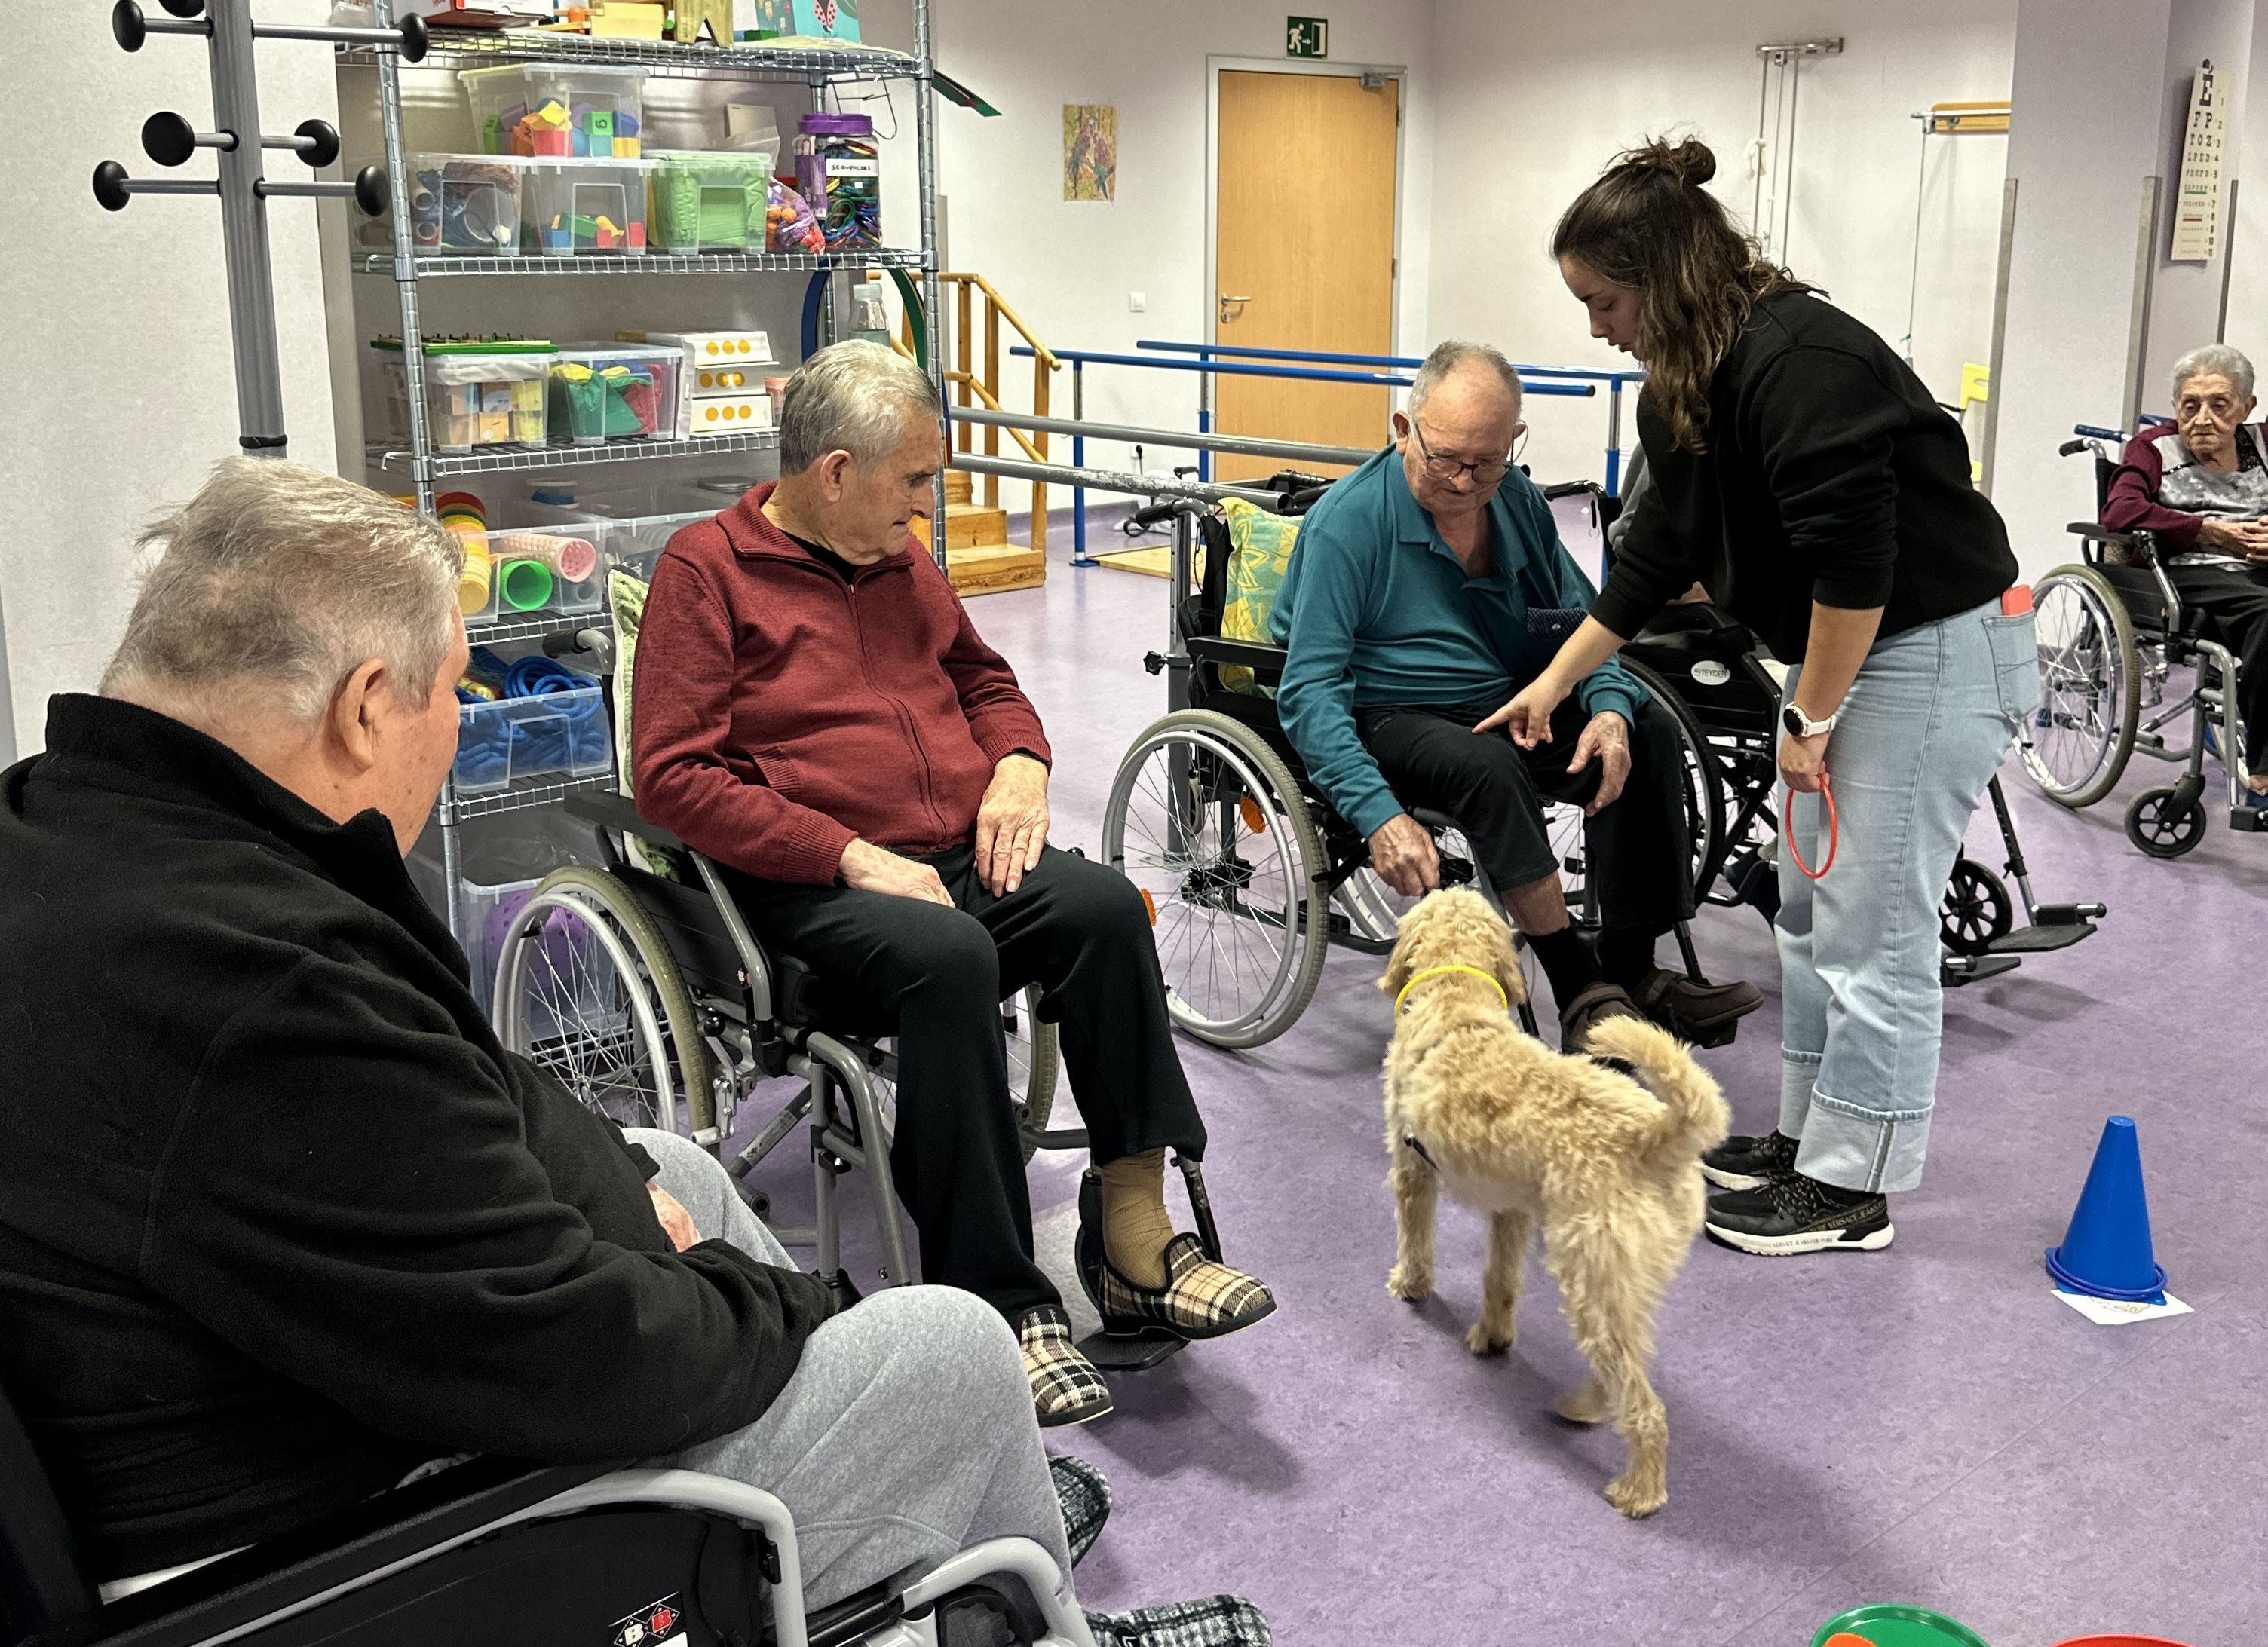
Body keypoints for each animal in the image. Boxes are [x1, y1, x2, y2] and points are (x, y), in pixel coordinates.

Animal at [1369, 889, 1724, 1524]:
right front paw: (1493, 1336)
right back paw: (1585, 1405)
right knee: (1625, 1366)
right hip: (1623, 1282)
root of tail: (1658, 1133)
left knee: (1644, 1403)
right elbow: (1500, 1280)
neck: (1459, 999)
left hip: (1590, 1282)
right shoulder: (1511, 1210)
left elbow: (1416, 1240)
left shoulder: (1412, 1173)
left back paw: (1638, 1490)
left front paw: (1409, 1284)